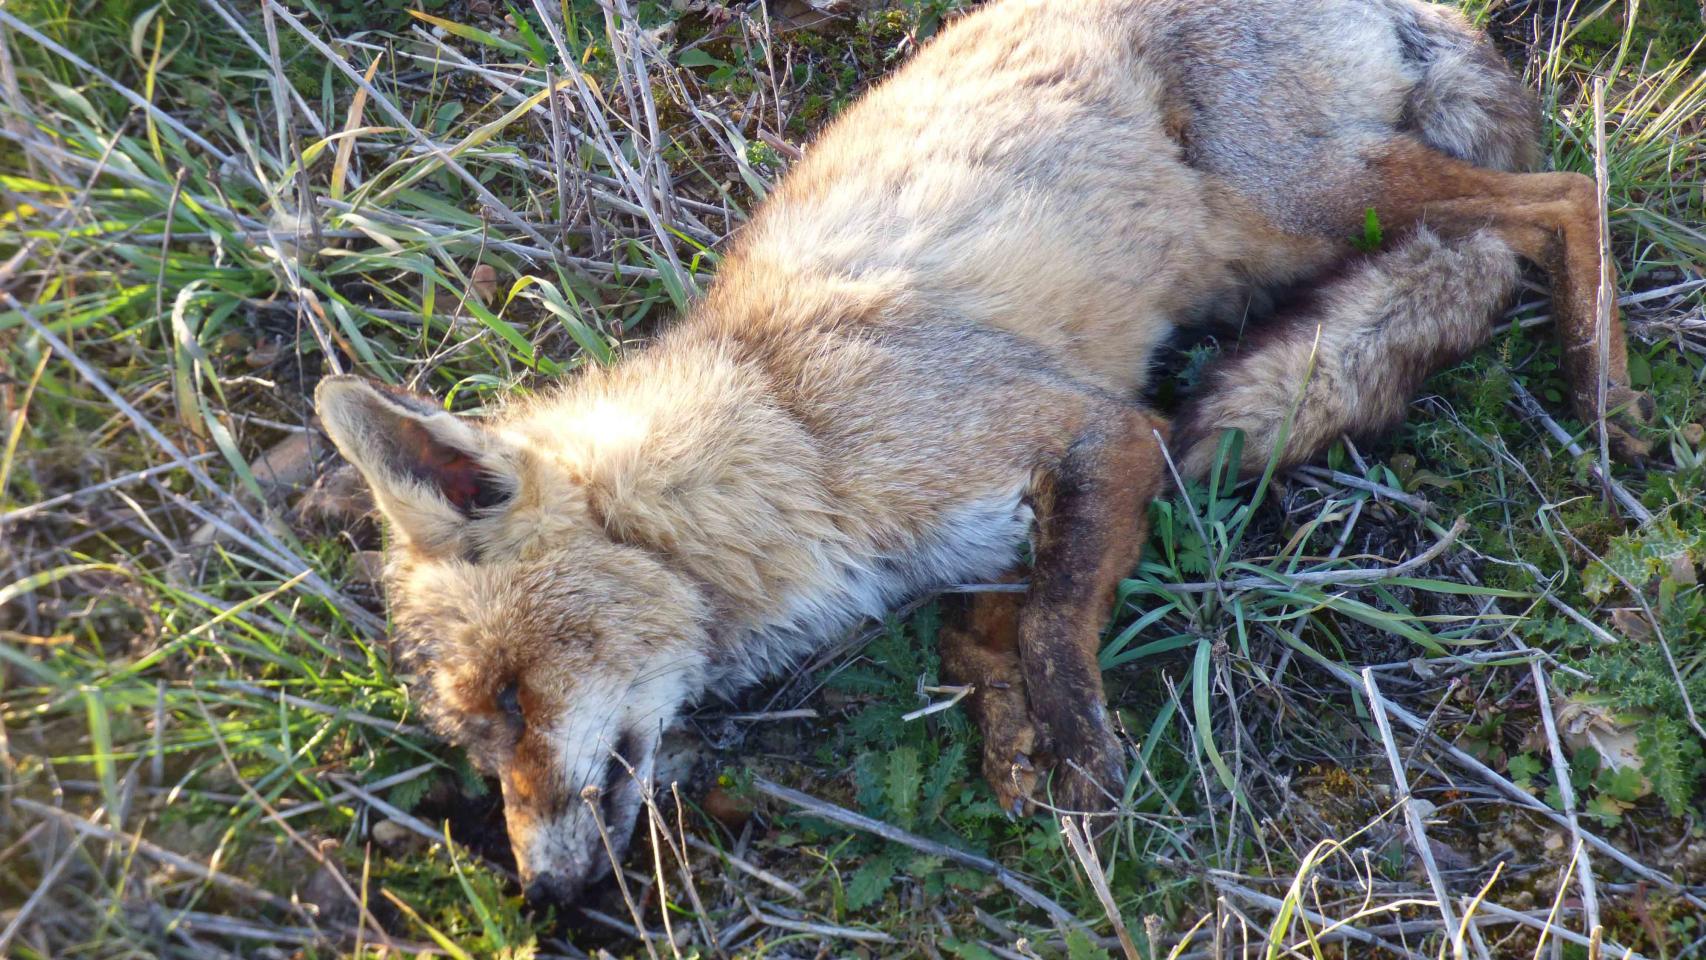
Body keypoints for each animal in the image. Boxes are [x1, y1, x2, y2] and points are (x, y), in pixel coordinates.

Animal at [313, 0, 1644, 907]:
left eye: (513, 698)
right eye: (478, 739)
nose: (543, 888)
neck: (783, 433)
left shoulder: (1099, 433)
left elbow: (1054, 626)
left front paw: (1088, 768)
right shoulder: (989, 533)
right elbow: (984, 640)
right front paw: (1014, 752)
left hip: (1300, 200)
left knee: (1562, 197)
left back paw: (1603, 400)